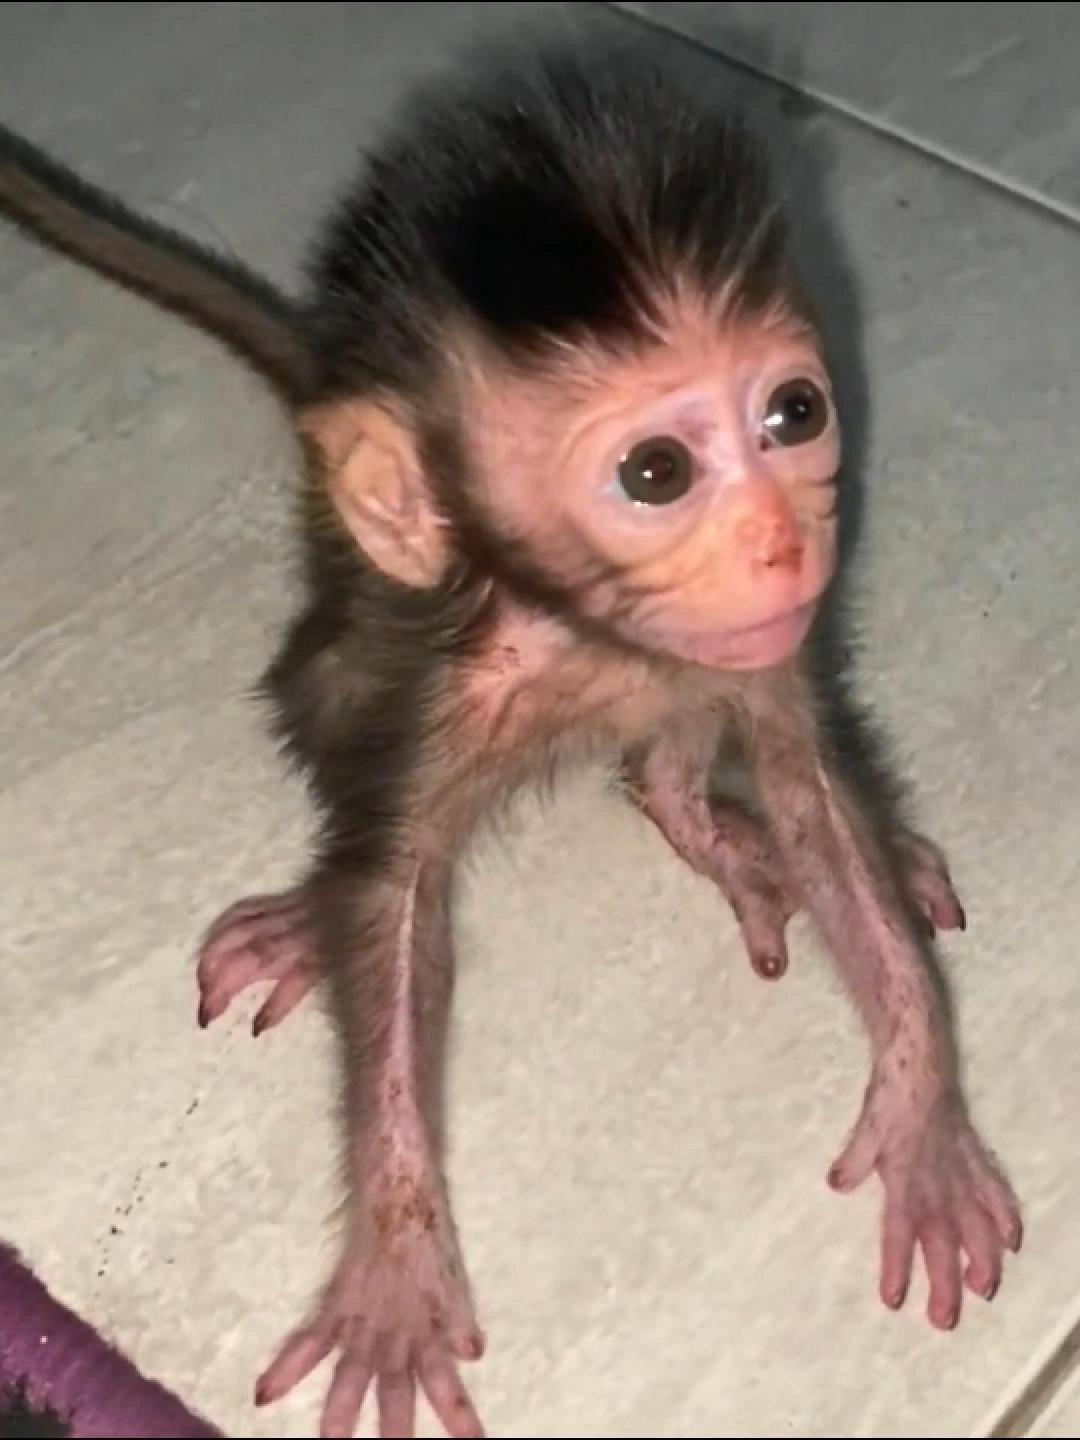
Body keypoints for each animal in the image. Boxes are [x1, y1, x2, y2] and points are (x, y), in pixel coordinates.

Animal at [0, 28, 1019, 1440]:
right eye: (655, 474)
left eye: (793, 414)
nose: (778, 542)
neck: (584, 628)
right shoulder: (445, 691)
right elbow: (393, 902)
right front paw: (397, 1267)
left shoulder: (751, 650)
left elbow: (813, 791)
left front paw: (923, 1108)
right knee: (326, 711)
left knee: (692, 750)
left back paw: (708, 815)